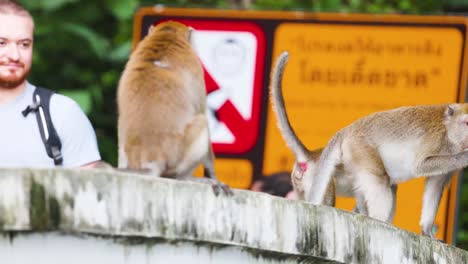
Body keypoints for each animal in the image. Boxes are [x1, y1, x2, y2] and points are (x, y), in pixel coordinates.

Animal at [116, 20, 231, 195]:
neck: (164, 38)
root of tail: (152, 157)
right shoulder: (196, 69)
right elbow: (201, 111)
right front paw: (213, 175)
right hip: (179, 156)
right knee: (201, 121)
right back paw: (186, 178)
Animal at [308, 85, 468, 238]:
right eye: (466, 123)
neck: (449, 130)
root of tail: (346, 130)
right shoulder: (436, 139)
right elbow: (420, 166)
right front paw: (464, 157)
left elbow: (435, 184)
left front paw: (427, 229)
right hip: (360, 148)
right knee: (380, 180)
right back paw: (379, 222)